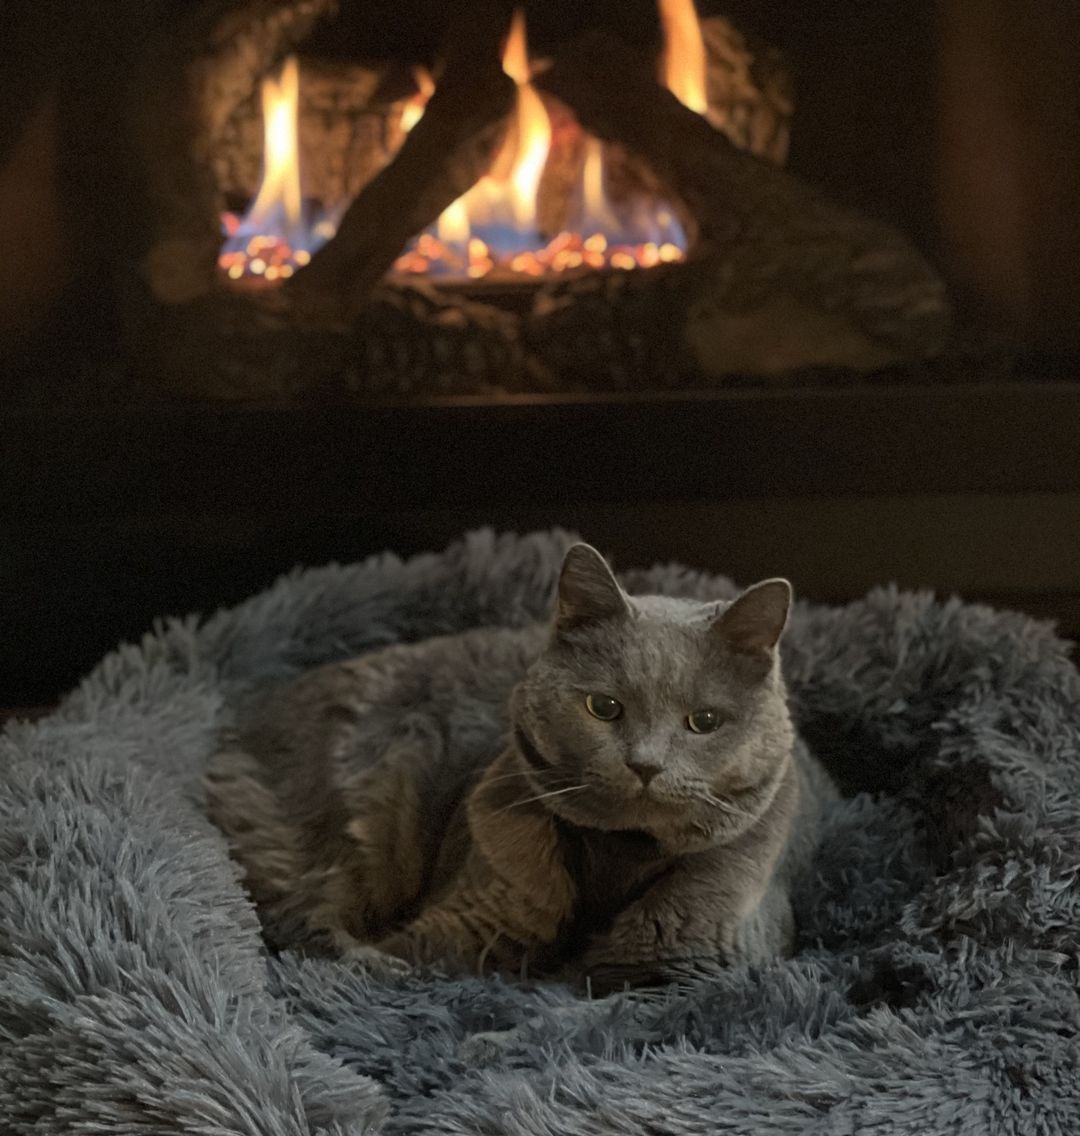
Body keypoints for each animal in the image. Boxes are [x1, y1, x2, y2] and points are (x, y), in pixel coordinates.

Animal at [206, 540, 840, 986]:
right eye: (603, 707)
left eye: (705, 721)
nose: (645, 764)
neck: (620, 851)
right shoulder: (470, 915)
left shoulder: (693, 967)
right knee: (297, 916)